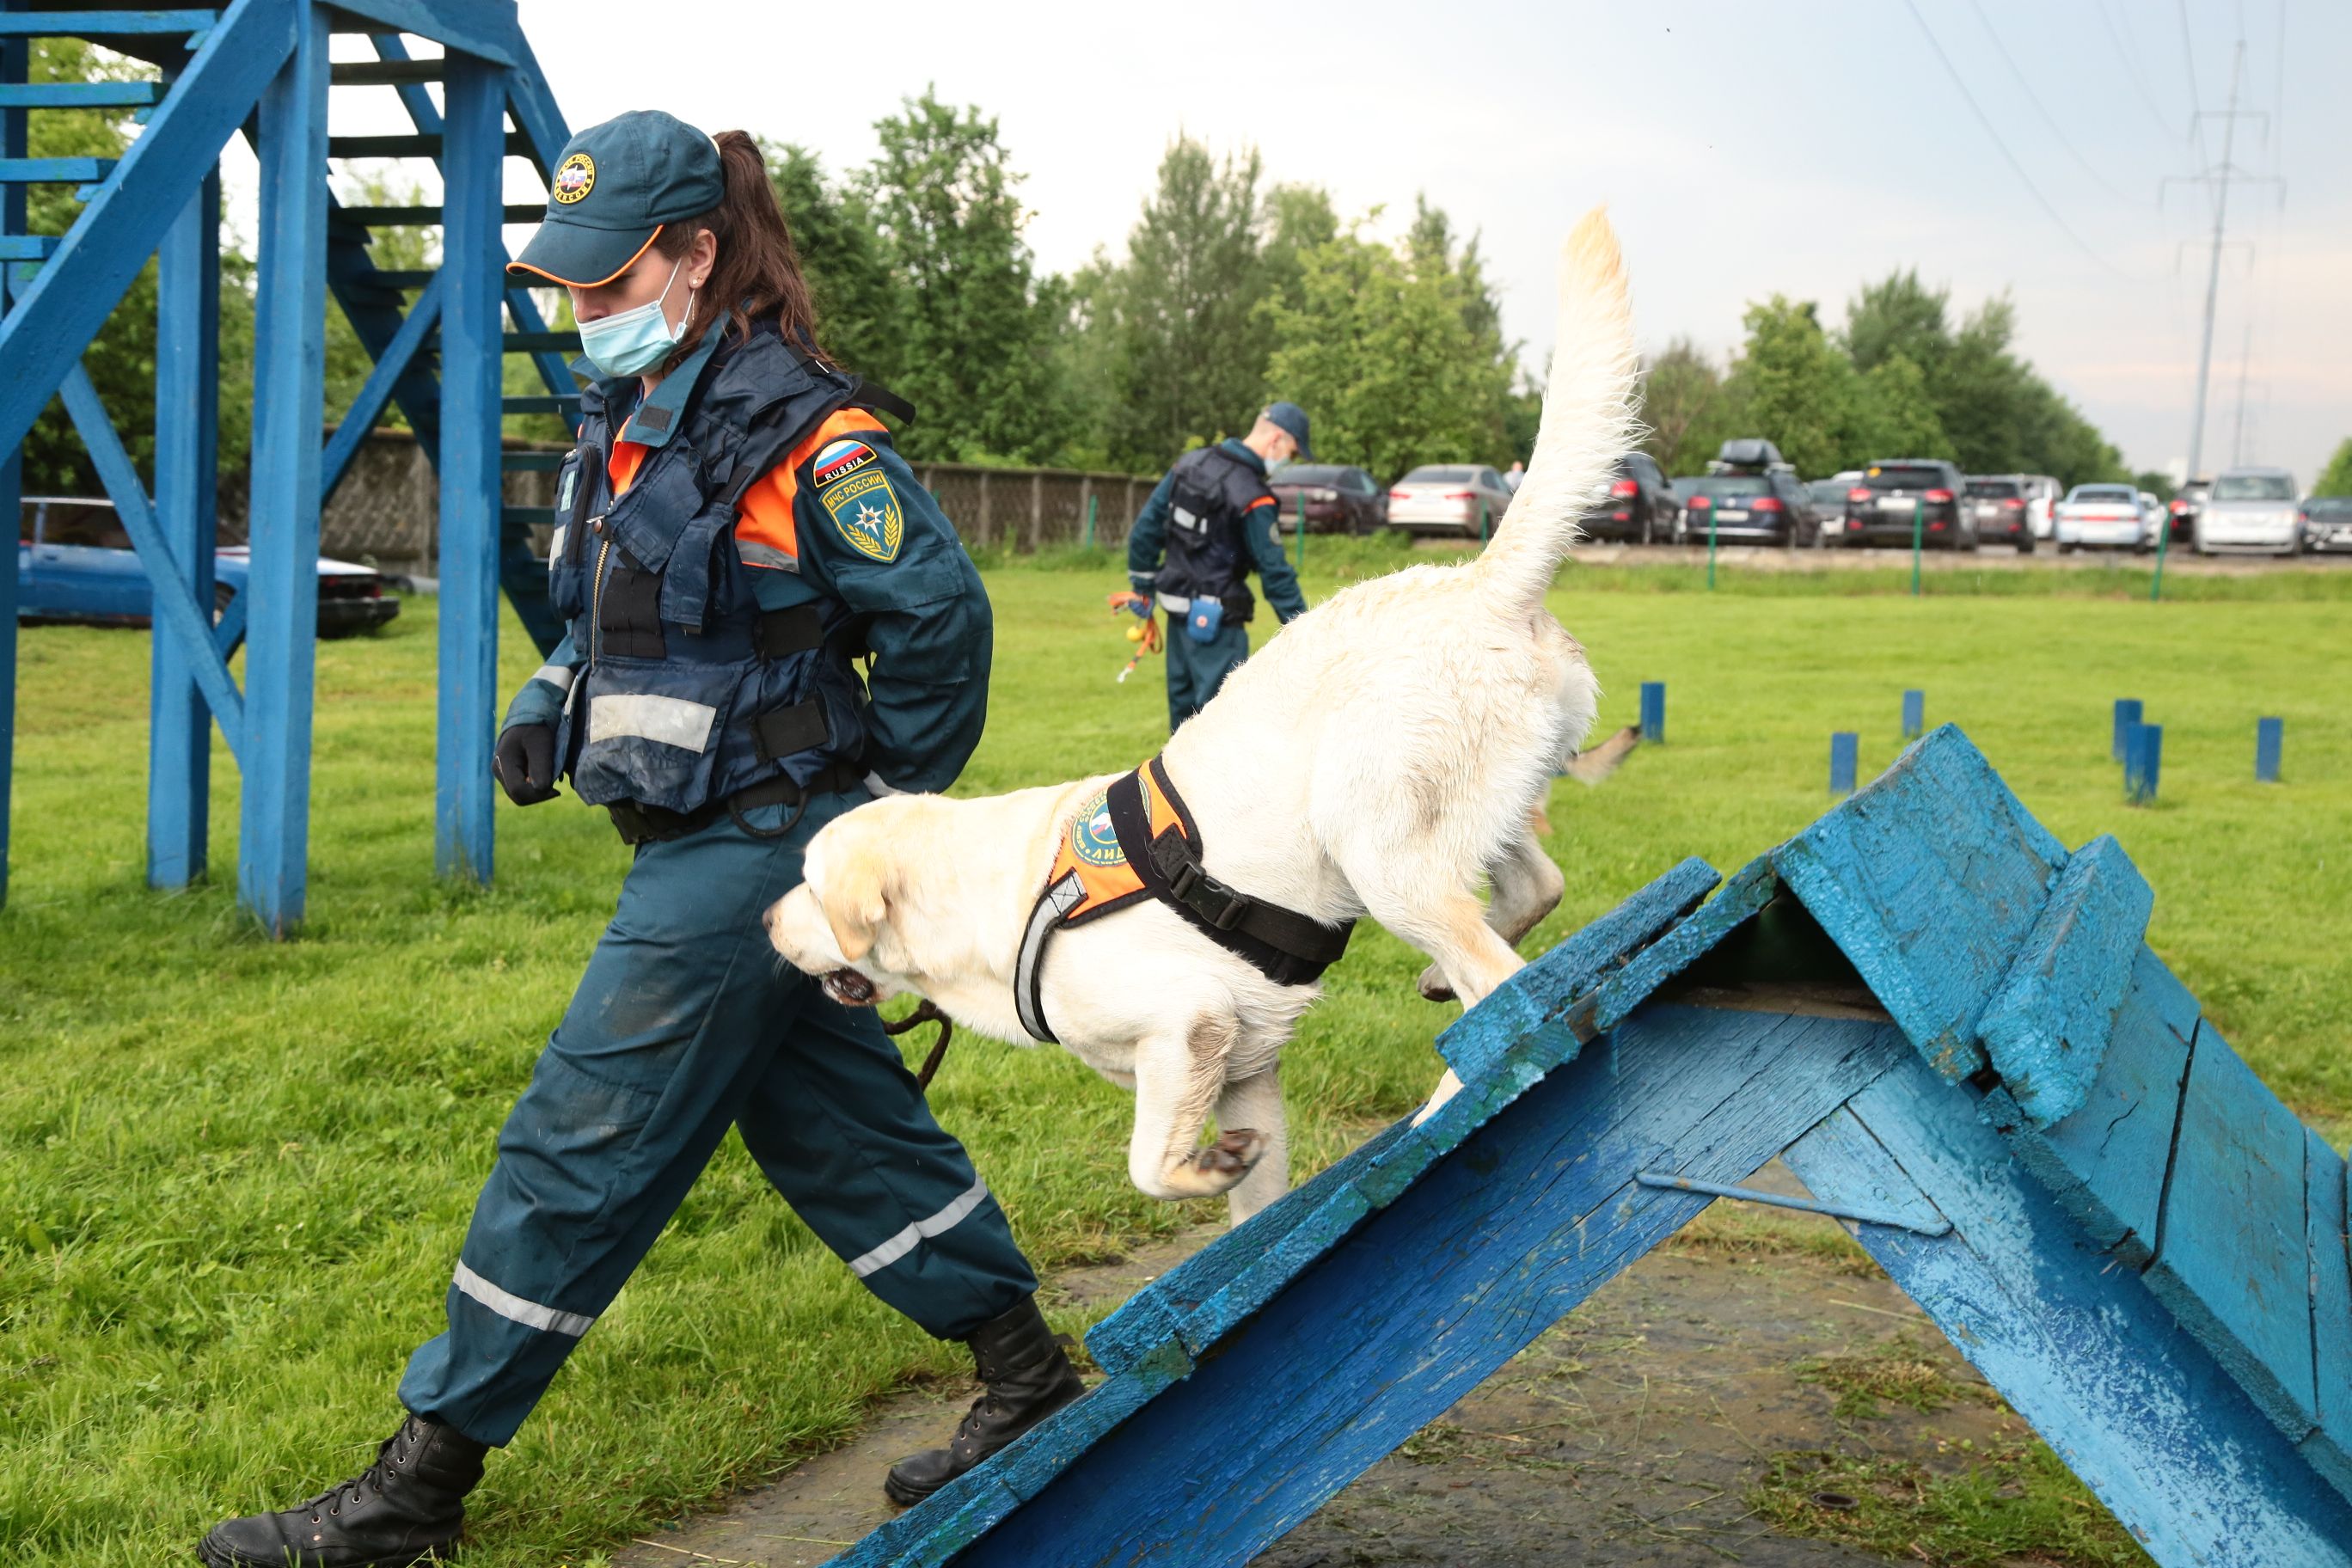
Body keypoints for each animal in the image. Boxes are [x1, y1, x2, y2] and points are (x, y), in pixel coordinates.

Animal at [766, 208, 1637, 1222]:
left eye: (808, 886)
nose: (767, 923)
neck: (1008, 904)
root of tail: (1484, 582)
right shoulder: (1242, 1072)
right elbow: (1250, 1201)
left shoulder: (1189, 1019)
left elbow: (1149, 1163)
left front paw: (1196, 1169)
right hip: (1456, 816)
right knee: (1536, 894)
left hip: (1375, 845)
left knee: (1505, 991)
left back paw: (1448, 1102)